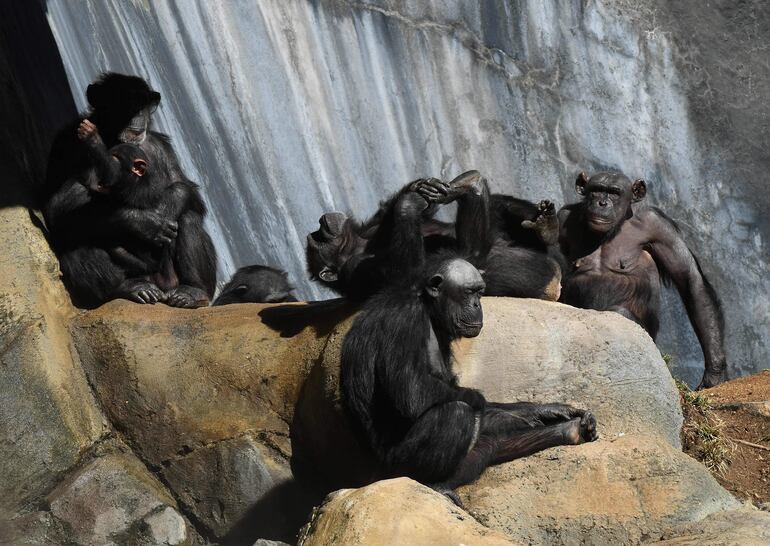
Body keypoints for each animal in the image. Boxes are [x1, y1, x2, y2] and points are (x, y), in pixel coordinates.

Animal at [44, 73, 216, 306]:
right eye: (129, 102)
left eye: (146, 104)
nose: (140, 115)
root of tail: (161, 289)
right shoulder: (64, 144)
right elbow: (55, 208)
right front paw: (144, 222)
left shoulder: (160, 146)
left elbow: (186, 188)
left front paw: (164, 210)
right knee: (75, 236)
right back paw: (129, 288)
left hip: (171, 279)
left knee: (188, 217)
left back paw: (192, 291)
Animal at [304, 171, 560, 302]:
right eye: (319, 240)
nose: (319, 225)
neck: (358, 245)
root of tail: (556, 285)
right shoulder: (355, 269)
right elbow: (406, 277)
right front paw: (409, 203)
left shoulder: (372, 228)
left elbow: (391, 213)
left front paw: (419, 188)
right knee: (471, 256)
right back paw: (472, 185)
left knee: (499, 203)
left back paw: (546, 227)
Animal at [340, 184, 596, 502]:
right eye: (470, 291)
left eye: (480, 291)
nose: (477, 305)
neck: (426, 306)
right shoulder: (403, 320)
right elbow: (414, 392)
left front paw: (547, 410)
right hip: (395, 471)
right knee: (456, 413)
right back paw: (434, 484)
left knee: (487, 442)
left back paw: (569, 431)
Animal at [560, 170, 728, 386]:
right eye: (596, 190)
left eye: (614, 193)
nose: (602, 203)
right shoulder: (563, 217)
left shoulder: (658, 226)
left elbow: (689, 278)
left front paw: (715, 373)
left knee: (620, 313)